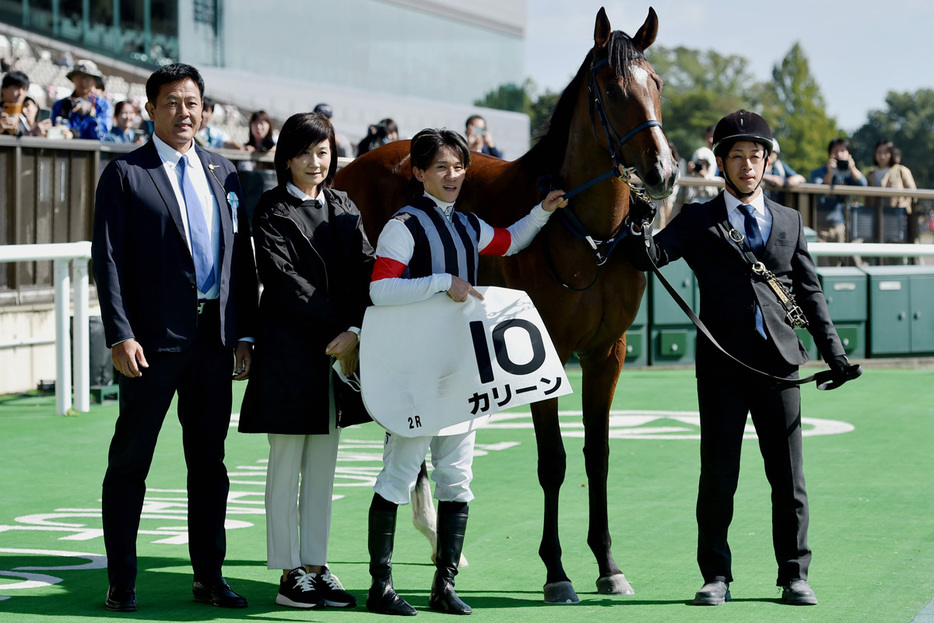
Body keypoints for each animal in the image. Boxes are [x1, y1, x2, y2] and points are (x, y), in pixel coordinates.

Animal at [336, 7, 680, 604]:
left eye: (656, 83)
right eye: (613, 90)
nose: (662, 173)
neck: (584, 233)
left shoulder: (607, 353)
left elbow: (598, 456)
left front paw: (608, 564)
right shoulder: (545, 355)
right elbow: (553, 462)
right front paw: (557, 571)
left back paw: (434, 536)